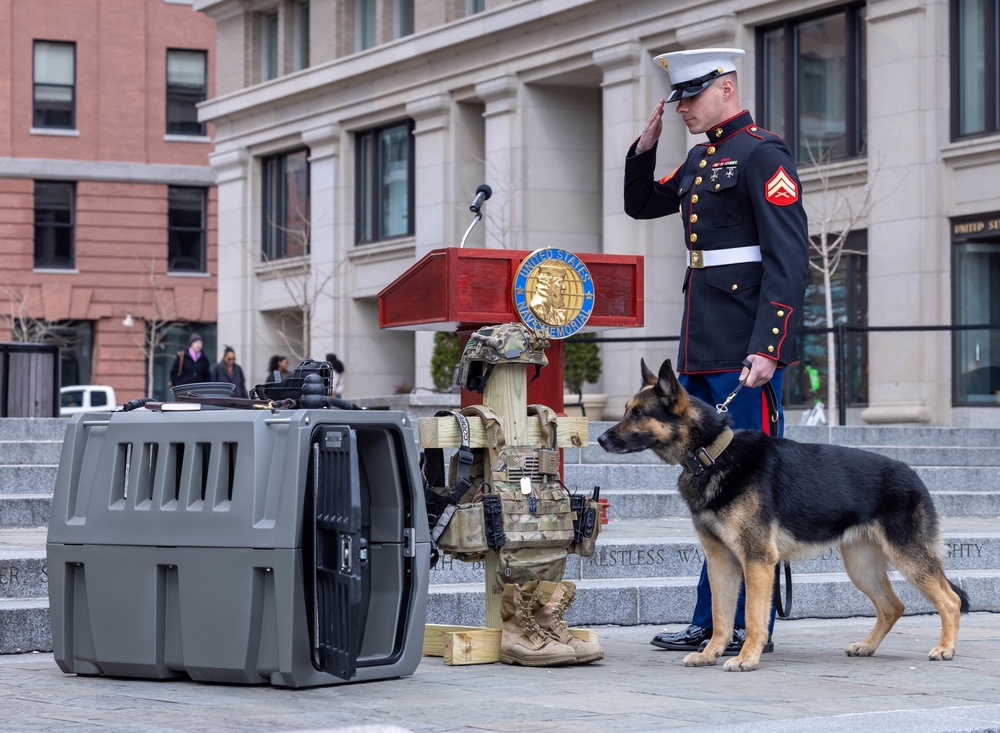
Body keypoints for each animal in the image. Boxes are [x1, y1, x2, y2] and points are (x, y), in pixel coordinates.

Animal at [596, 358, 972, 672]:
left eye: (638, 414)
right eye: (626, 410)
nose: (599, 438)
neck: (712, 454)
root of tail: (913, 474)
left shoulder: (758, 561)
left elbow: (751, 616)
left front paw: (747, 657)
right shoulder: (721, 562)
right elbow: (721, 616)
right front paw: (710, 654)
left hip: (908, 558)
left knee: (950, 600)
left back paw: (946, 649)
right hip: (861, 566)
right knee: (893, 606)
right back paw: (867, 646)